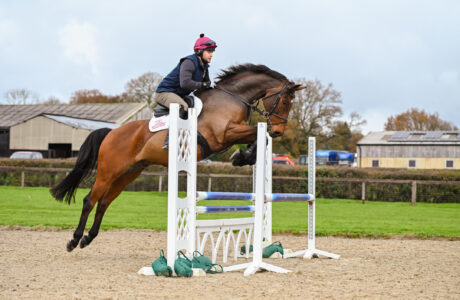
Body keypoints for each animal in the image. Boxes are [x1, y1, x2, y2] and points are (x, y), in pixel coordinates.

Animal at [50, 63, 304, 251]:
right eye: (284, 100)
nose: (279, 131)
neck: (232, 98)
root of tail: (111, 132)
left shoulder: (231, 134)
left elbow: (258, 136)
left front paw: (243, 157)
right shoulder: (223, 134)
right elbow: (255, 132)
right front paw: (242, 156)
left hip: (128, 174)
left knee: (103, 203)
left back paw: (88, 238)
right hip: (108, 172)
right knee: (89, 200)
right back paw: (74, 240)